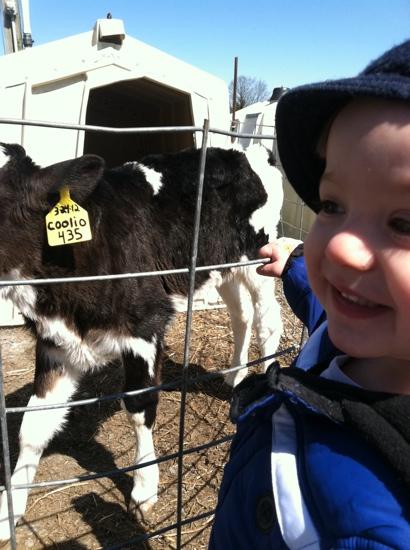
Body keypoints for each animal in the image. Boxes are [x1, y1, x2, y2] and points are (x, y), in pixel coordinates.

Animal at [0, 142, 284, 544]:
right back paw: (235, 374)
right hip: (219, 265)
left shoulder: (145, 328)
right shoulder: (56, 342)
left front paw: (144, 487)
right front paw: (8, 512)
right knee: (240, 313)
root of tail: (245, 148)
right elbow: (32, 426)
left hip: (259, 256)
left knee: (267, 319)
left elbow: (140, 406)